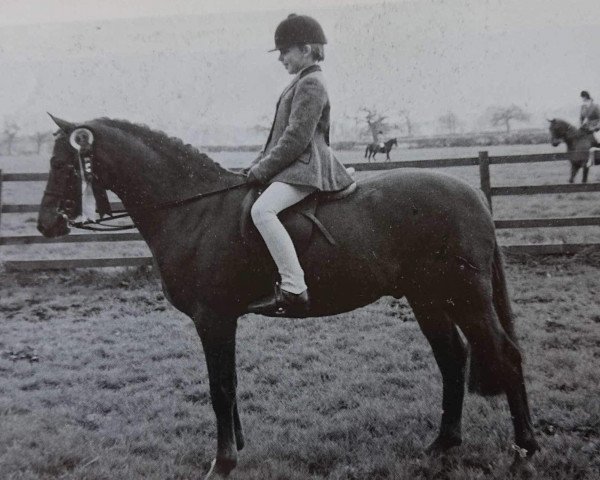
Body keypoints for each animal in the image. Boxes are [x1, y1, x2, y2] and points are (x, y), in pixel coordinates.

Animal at [38, 116, 540, 480]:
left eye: (64, 165)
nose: (46, 224)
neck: (195, 210)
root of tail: (472, 194)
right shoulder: (222, 320)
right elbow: (230, 383)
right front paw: (235, 448)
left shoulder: (212, 318)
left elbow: (220, 387)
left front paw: (222, 464)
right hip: (428, 299)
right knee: (452, 358)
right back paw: (443, 444)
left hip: (465, 297)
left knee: (506, 355)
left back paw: (524, 449)